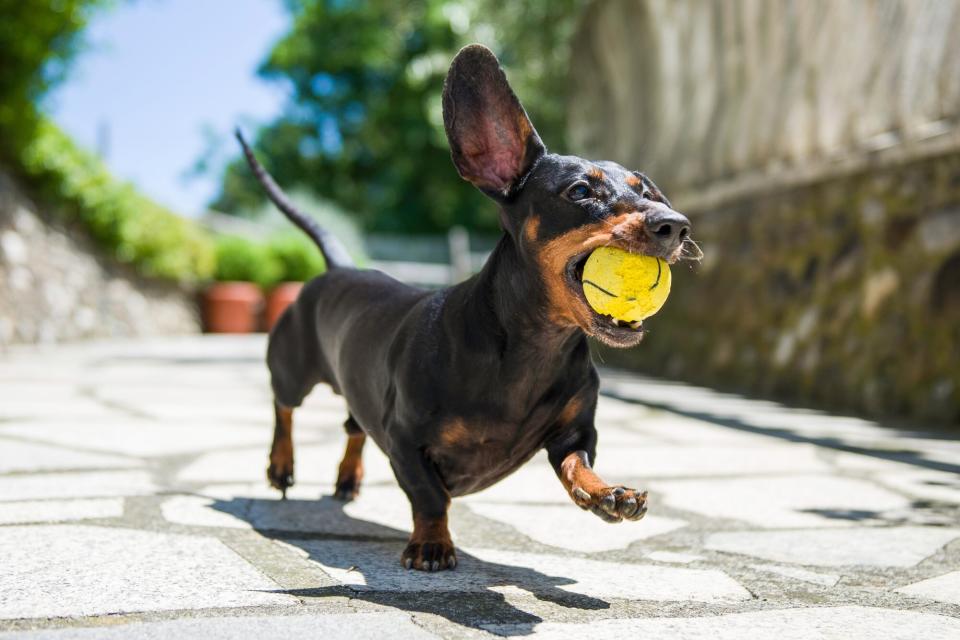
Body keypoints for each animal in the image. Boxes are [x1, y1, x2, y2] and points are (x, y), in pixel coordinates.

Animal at [239, 46, 688, 576]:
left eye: (648, 192)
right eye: (580, 191)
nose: (676, 225)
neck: (532, 350)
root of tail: (341, 266)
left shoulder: (576, 431)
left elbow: (577, 463)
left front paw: (607, 494)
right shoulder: (405, 439)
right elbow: (431, 497)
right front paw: (431, 544)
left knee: (351, 427)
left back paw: (348, 478)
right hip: (293, 367)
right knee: (284, 406)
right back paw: (281, 465)